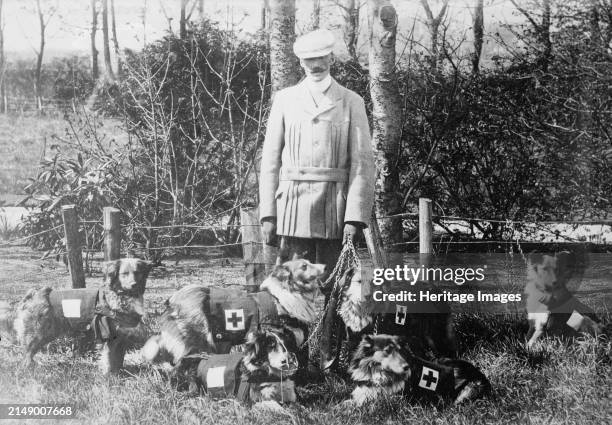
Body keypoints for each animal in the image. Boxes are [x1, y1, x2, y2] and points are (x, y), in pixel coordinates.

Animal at [0, 256, 152, 372]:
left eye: (137, 272)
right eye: (124, 274)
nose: (134, 284)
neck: (121, 296)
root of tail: (33, 295)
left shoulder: (120, 338)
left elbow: (118, 360)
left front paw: (119, 373)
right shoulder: (107, 336)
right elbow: (108, 360)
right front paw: (109, 377)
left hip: (48, 333)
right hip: (36, 334)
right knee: (26, 355)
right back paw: (29, 371)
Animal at [346, 332, 490, 406]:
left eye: (400, 350)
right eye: (387, 351)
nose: (406, 367)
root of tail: (478, 372)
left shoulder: (391, 399)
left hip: (469, 390)